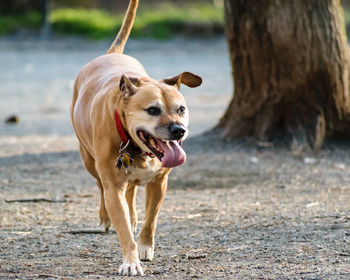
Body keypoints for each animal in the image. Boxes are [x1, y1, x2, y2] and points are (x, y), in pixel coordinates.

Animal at [70, 0, 202, 276]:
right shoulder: (113, 184)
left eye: (181, 109)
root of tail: (111, 53)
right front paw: (130, 260)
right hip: (89, 159)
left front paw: (144, 246)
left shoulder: (159, 181)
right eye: (152, 110)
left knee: (131, 192)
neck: (134, 146)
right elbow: (120, 223)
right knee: (100, 186)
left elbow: (151, 219)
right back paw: (106, 217)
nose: (178, 130)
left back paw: (132, 216)